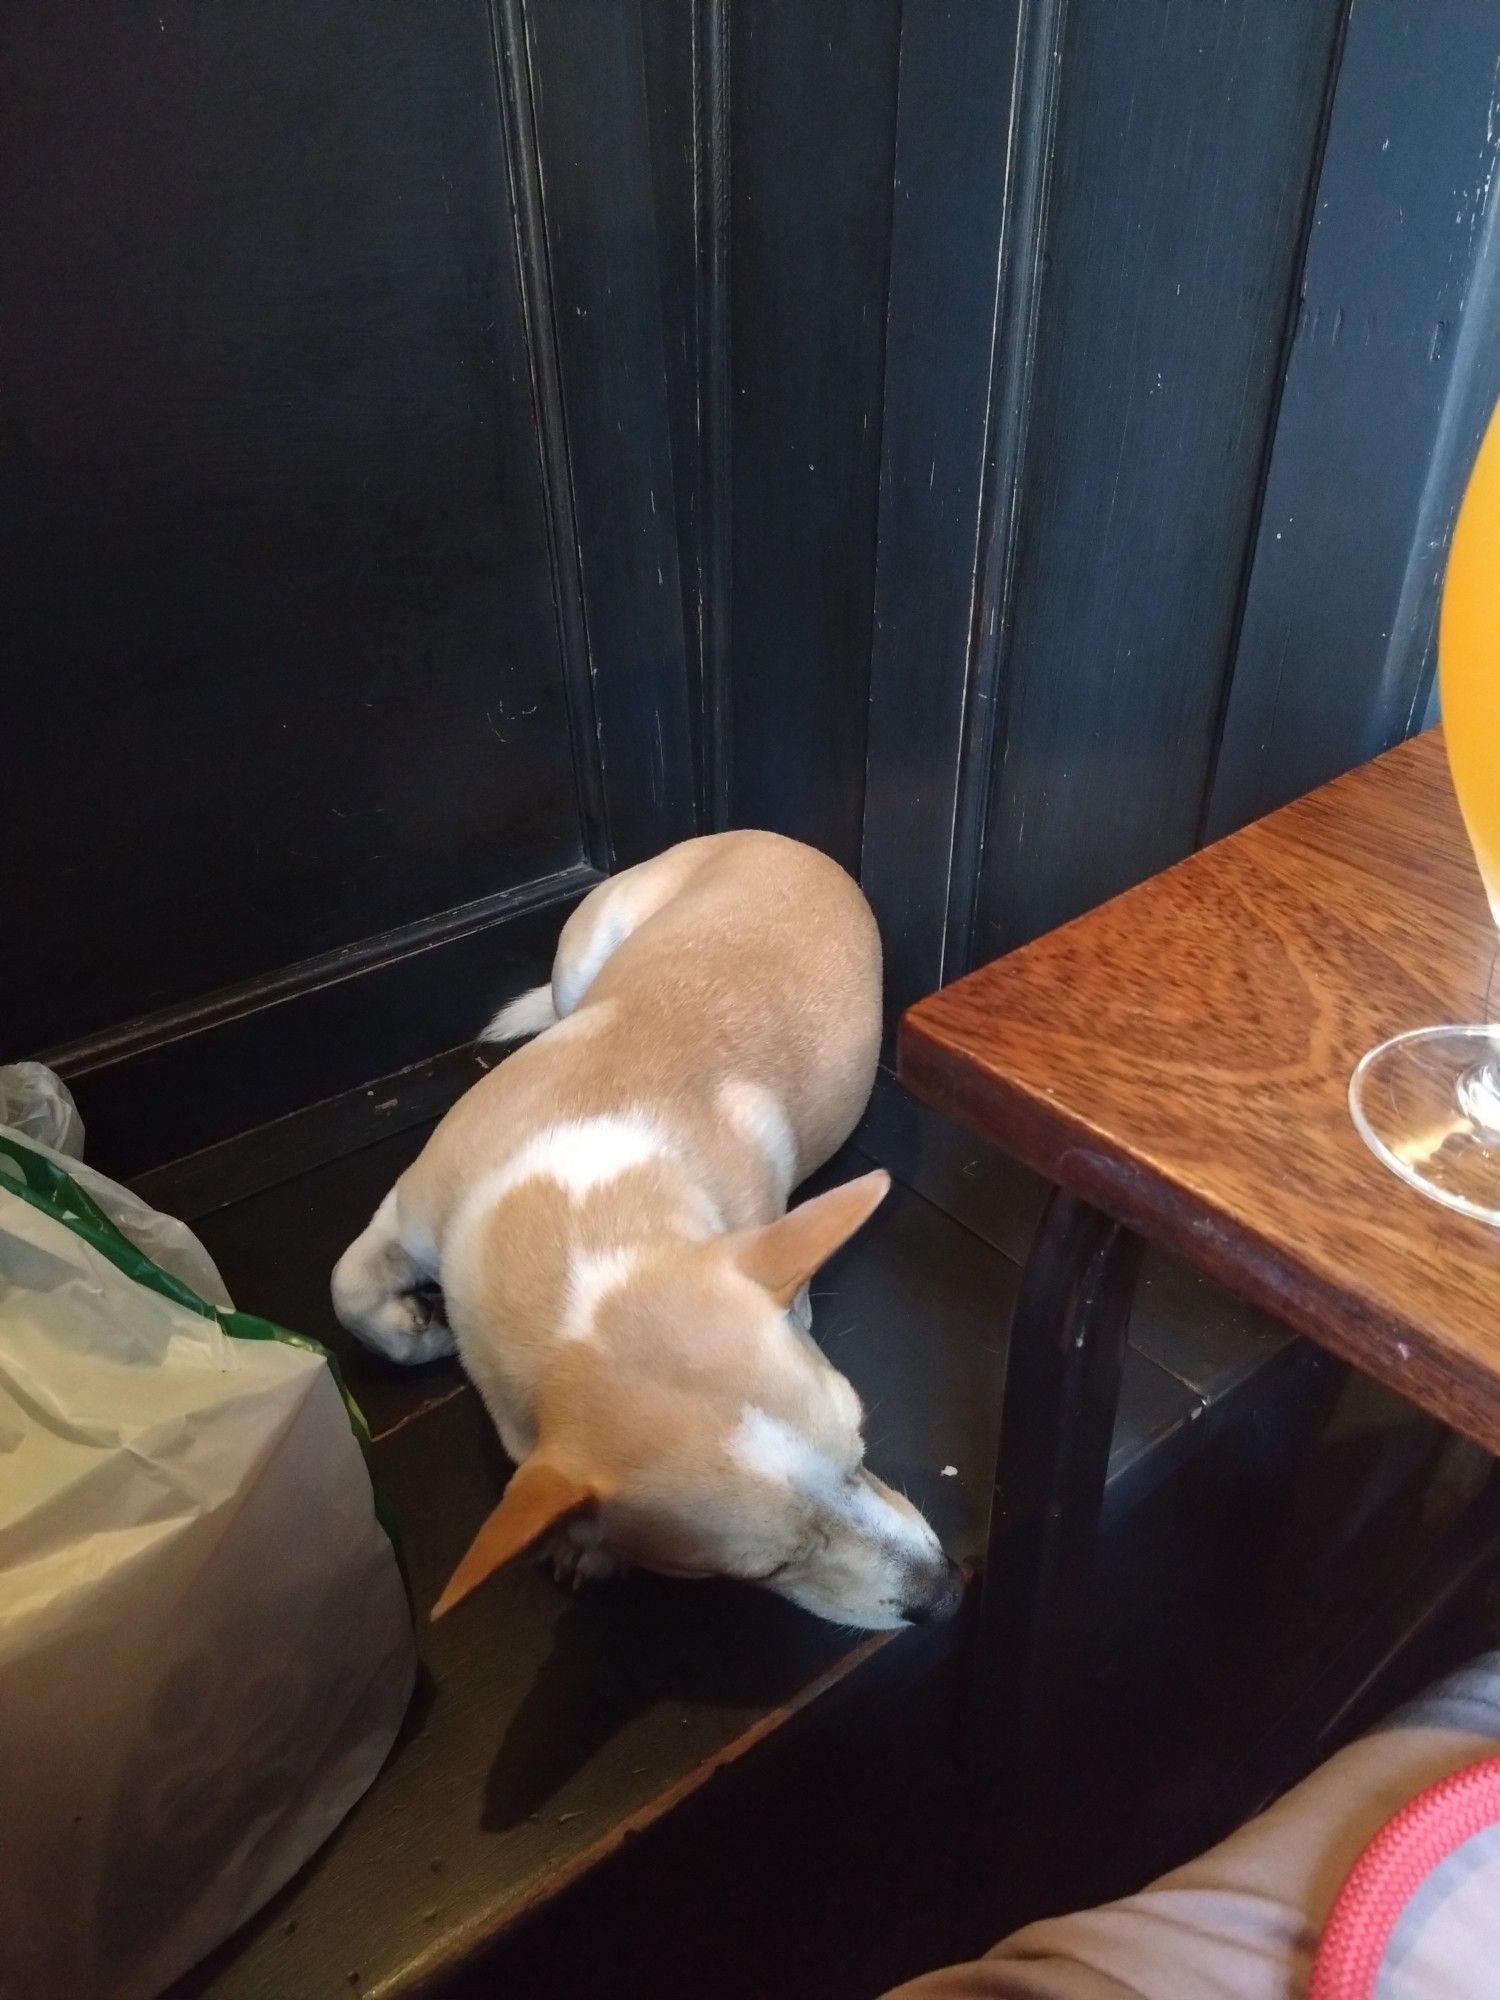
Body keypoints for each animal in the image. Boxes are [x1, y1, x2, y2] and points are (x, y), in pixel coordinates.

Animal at [328, 828, 964, 1624]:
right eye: (766, 1568)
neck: (582, 1235)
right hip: (585, 952)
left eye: (862, 1446)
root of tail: (778, 837)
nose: (945, 1595)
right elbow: (346, 1288)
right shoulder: (412, 1210)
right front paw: (416, 1332)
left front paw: (589, 1547)